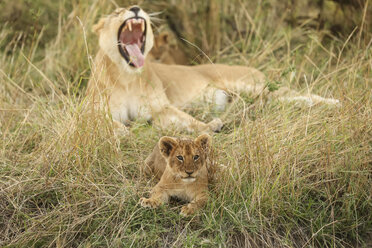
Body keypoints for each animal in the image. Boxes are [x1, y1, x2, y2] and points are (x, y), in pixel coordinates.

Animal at [86, 5, 338, 134]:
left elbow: (187, 119)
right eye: (116, 12)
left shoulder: (161, 109)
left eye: (136, 7)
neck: (127, 77)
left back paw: (334, 103)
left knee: (292, 93)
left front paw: (210, 125)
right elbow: (105, 122)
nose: (136, 8)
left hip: (251, 86)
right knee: (282, 100)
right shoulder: (91, 112)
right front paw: (122, 130)